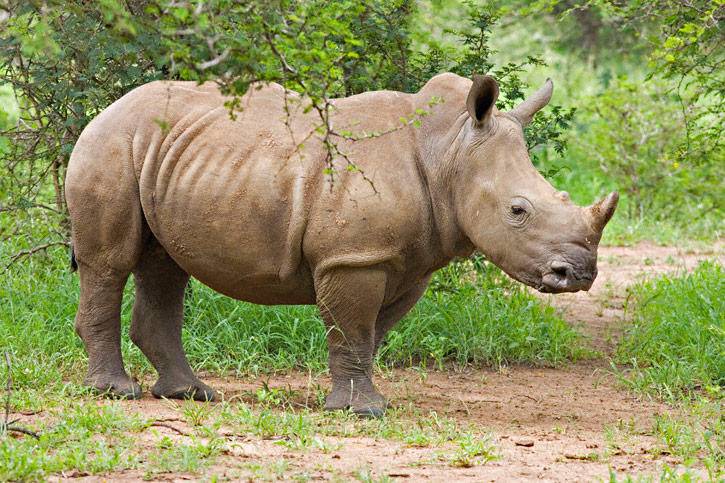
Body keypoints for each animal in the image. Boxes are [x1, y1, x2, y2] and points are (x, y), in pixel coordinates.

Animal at [66, 73, 618, 417]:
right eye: (518, 211)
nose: (579, 274)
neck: (449, 151)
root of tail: (104, 110)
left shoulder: (406, 263)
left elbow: (371, 335)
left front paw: (362, 401)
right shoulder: (352, 258)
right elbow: (352, 331)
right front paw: (364, 412)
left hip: (168, 155)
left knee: (164, 266)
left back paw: (191, 394)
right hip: (110, 144)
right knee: (110, 263)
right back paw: (116, 393)